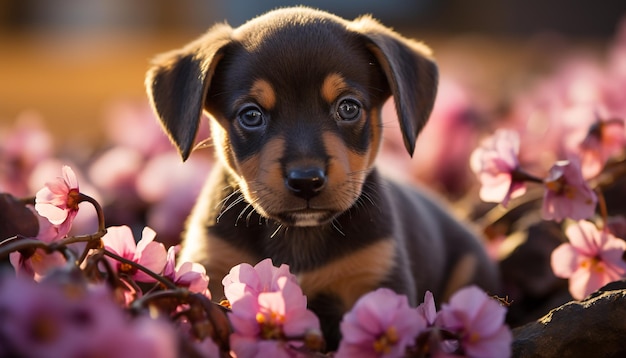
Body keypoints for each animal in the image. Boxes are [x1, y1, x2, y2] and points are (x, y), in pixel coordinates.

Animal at [145, 6, 498, 350]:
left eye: (348, 108)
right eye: (251, 114)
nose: (306, 181)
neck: (300, 236)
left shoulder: (375, 278)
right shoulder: (215, 266)